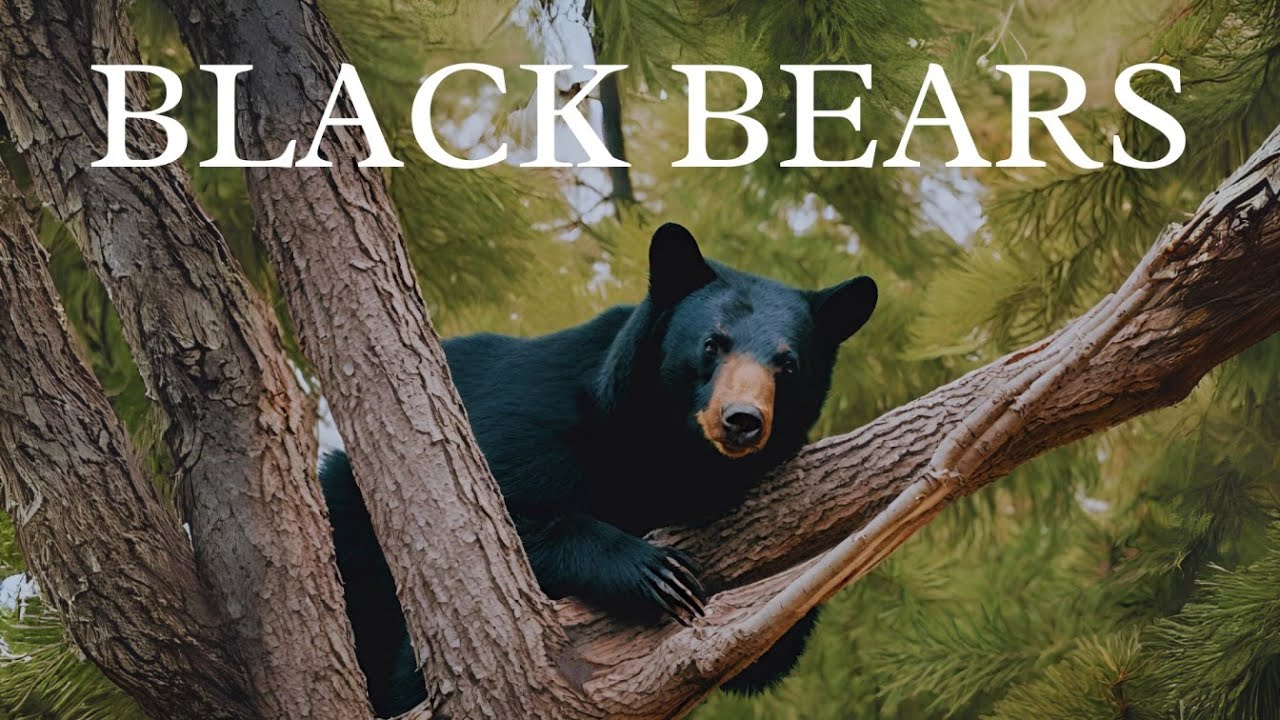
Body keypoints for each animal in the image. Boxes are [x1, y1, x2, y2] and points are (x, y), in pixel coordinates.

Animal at [320, 222, 877, 716]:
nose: (741, 420)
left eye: (787, 365)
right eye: (712, 345)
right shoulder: (533, 419)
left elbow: (761, 653)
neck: (672, 451)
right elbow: (474, 525)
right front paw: (657, 572)